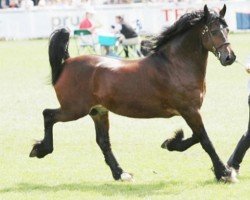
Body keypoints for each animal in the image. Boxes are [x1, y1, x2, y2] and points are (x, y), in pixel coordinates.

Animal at [29, 4, 236, 182]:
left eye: (227, 29)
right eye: (213, 31)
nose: (229, 57)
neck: (175, 65)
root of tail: (66, 63)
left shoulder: (191, 112)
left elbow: (196, 137)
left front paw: (171, 143)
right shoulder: (190, 110)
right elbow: (205, 140)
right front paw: (224, 173)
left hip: (98, 111)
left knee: (103, 141)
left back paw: (121, 173)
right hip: (74, 109)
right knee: (48, 114)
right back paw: (40, 150)